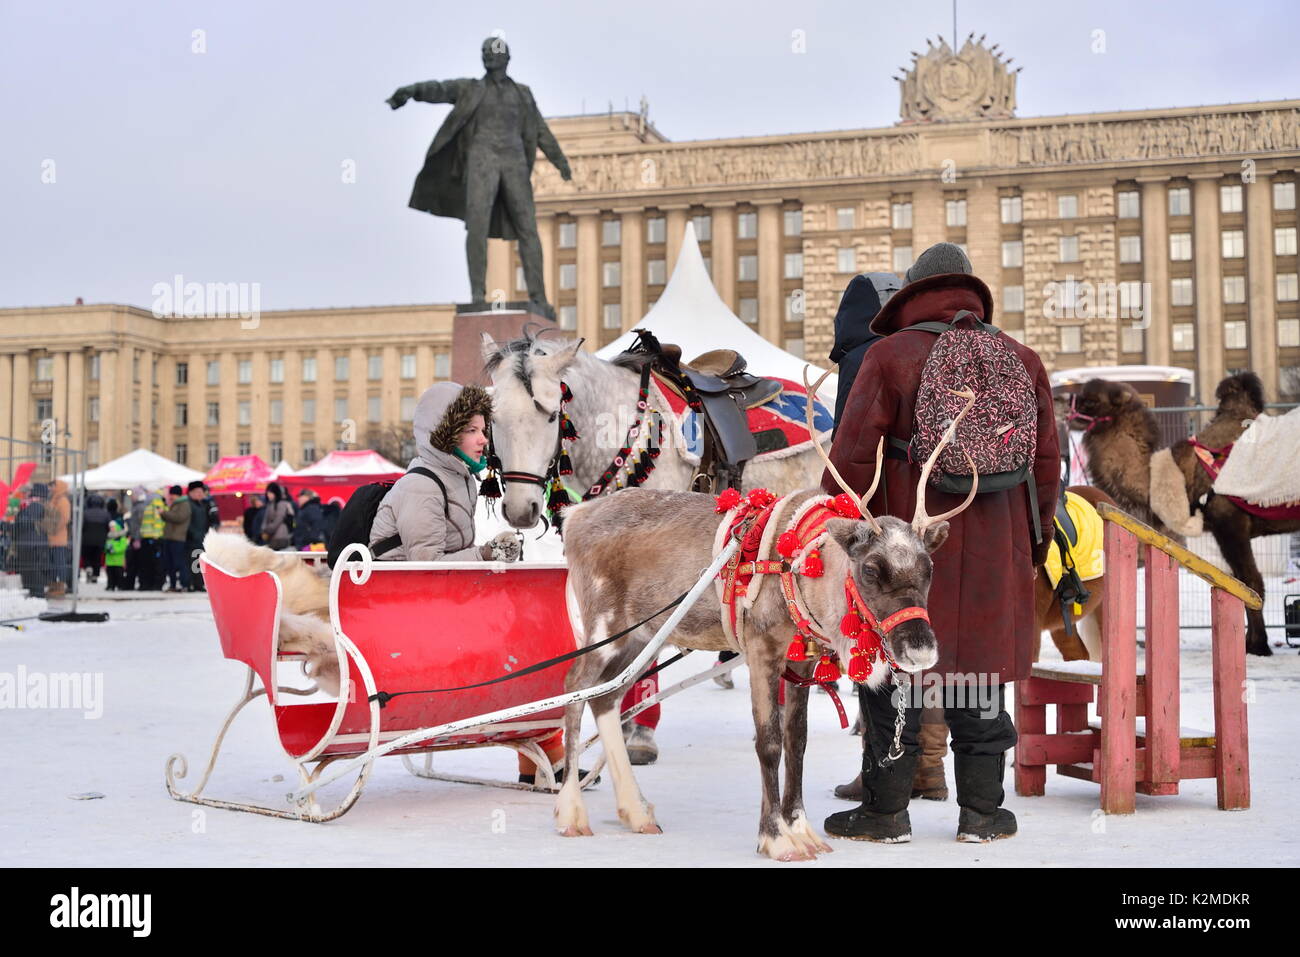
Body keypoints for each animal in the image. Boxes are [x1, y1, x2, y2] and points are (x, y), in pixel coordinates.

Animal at [1066, 369, 1300, 655]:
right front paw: (1249, 642)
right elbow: (1243, 583)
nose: (1063, 400)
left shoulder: (1229, 521)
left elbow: (1251, 583)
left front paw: (1257, 645)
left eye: (1091, 401)